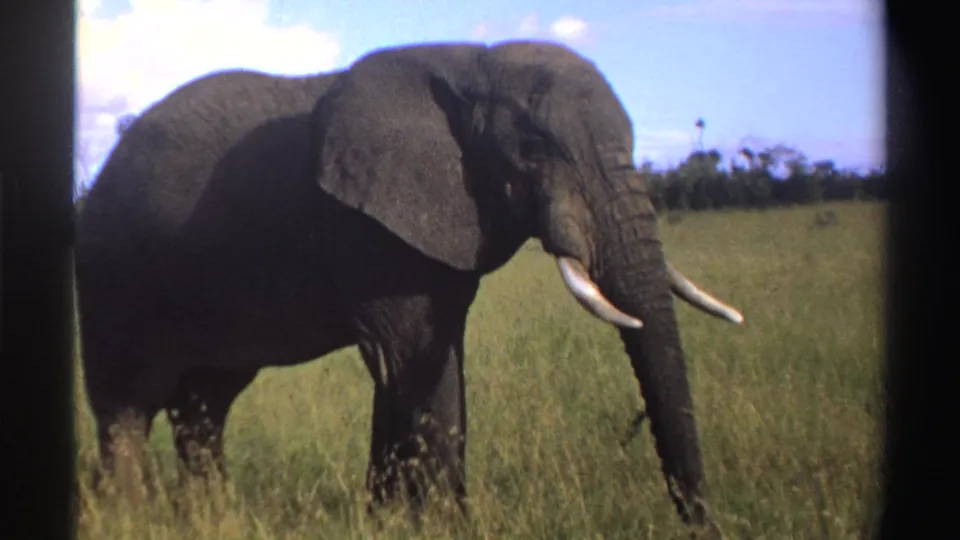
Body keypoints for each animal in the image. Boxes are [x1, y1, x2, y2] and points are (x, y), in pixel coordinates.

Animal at [75, 40, 744, 534]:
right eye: (532, 150)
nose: (702, 526)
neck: (472, 64)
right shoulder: (369, 231)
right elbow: (414, 361)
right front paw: (447, 527)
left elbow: (420, 364)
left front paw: (388, 521)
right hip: (114, 276)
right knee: (127, 407)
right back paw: (130, 521)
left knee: (204, 408)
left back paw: (211, 521)